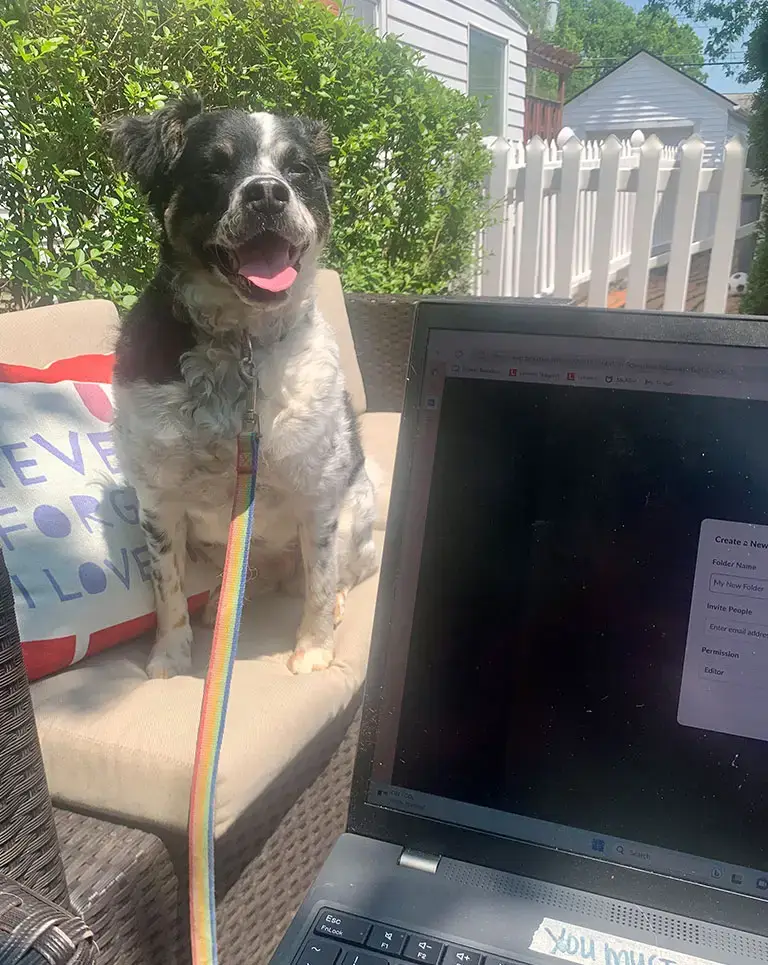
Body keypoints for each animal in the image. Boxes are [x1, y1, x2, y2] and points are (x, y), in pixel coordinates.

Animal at [108, 92, 378, 676]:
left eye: (298, 170)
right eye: (214, 167)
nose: (267, 193)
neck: (241, 344)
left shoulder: (318, 494)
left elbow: (321, 580)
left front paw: (314, 649)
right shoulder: (158, 501)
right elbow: (167, 588)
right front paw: (170, 654)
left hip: (355, 512)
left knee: (342, 572)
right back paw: (218, 605)